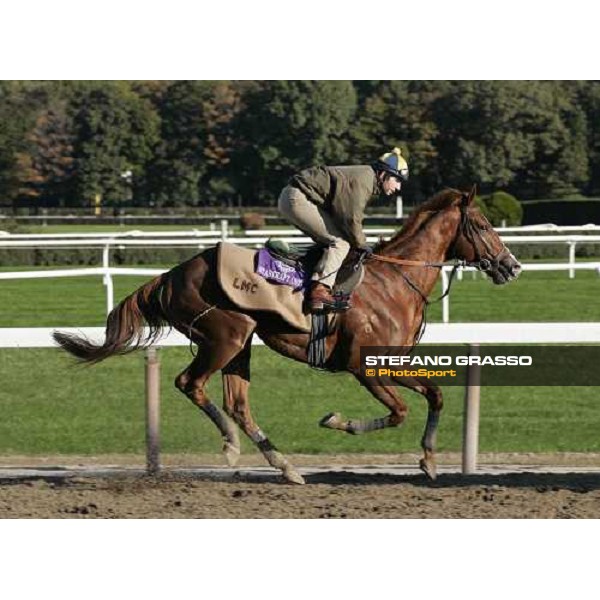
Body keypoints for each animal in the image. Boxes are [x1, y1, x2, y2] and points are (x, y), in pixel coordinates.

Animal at [52, 186, 520, 482]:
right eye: (482, 225)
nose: (511, 266)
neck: (393, 283)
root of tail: (171, 275)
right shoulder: (363, 367)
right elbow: (399, 411)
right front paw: (337, 421)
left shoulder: (392, 362)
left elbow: (435, 396)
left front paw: (428, 459)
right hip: (225, 337)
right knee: (190, 383)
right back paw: (231, 445)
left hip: (240, 344)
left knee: (237, 402)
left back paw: (284, 465)